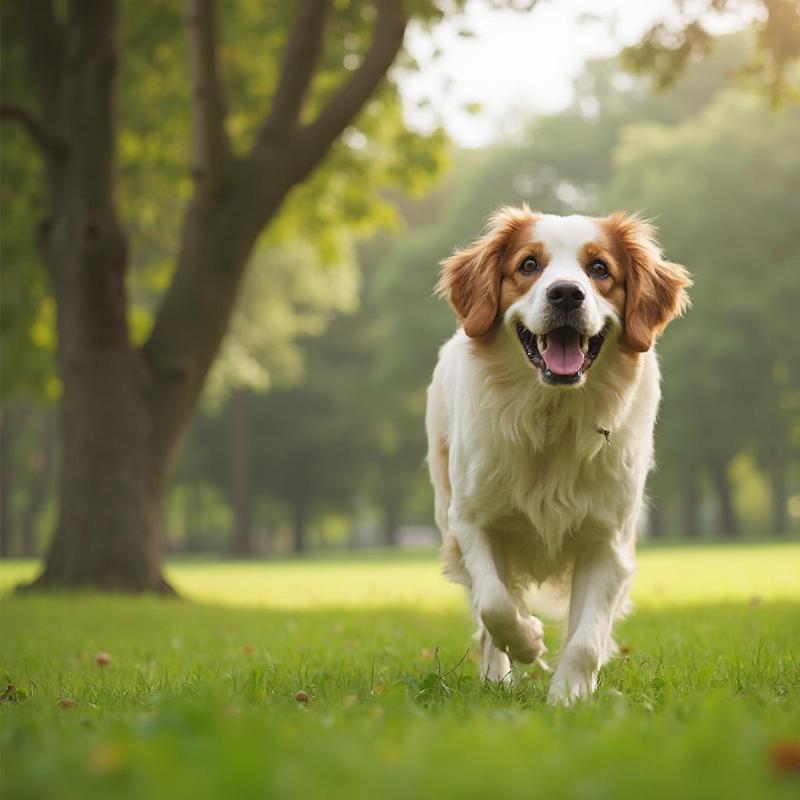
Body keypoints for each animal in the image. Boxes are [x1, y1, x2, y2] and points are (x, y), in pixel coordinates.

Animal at [422, 208, 692, 708]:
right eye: (529, 265)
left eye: (600, 269)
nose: (566, 293)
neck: (552, 416)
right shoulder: (470, 520)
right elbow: (495, 605)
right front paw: (528, 642)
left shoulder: (608, 538)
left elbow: (586, 637)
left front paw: (569, 696)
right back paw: (499, 675)